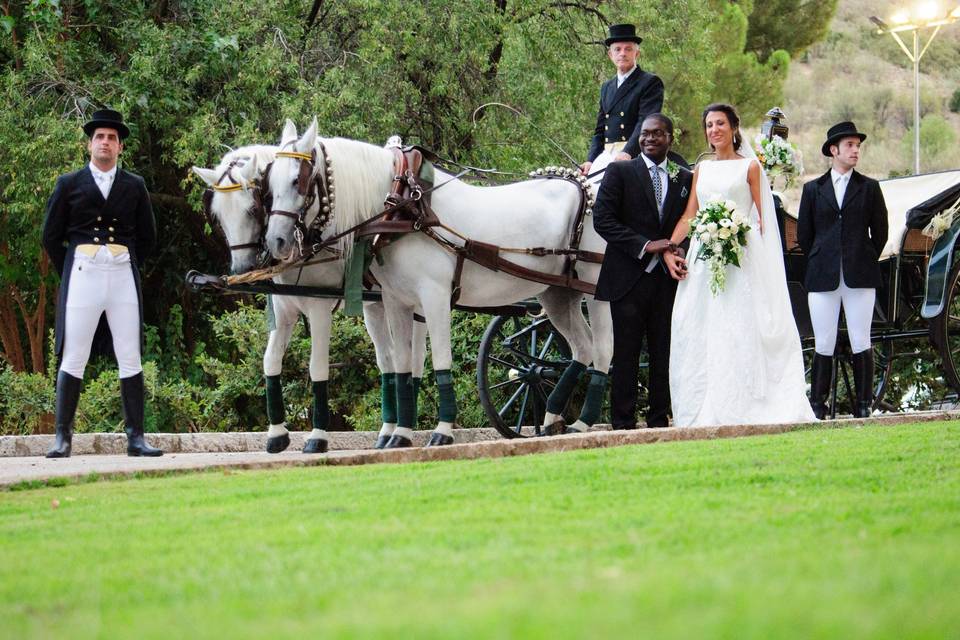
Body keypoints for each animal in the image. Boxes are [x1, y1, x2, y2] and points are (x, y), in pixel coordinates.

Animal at [191, 140, 424, 450]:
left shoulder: (319, 309)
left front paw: (317, 436)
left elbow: (318, 367)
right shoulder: (284, 311)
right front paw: (277, 434)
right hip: (375, 307)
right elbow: (271, 361)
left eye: (253, 208)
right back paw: (389, 431)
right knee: (388, 359)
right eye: (217, 215)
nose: (242, 269)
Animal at [262, 121, 608, 450]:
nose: (275, 241)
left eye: (296, 181)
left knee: (604, 349)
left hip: (596, 290)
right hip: (558, 293)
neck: (404, 206)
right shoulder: (395, 301)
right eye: (269, 184)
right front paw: (400, 434)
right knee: (583, 347)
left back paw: (582, 422)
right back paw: (553, 418)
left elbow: (441, 359)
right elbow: (402, 366)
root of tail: (586, 186)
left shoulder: (435, 297)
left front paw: (442, 431)